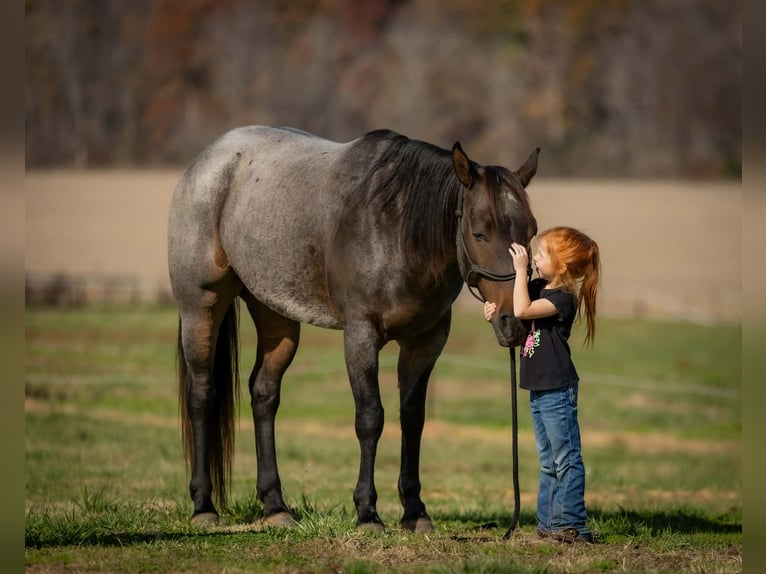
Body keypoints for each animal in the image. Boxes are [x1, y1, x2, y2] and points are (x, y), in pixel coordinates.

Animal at [168, 126, 539, 532]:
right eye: (479, 232)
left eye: (531, 231)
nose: (514, 320)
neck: (396, 227)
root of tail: (209, 157)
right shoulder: (361, 335)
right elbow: (370, 418)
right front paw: (367, 511)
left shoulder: (425, 342)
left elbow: (412, 419)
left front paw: (415, 511)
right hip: (201, 307)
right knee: (202, 394)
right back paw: (203, 505)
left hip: (276, 317)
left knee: (264, 394)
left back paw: (276, 506)